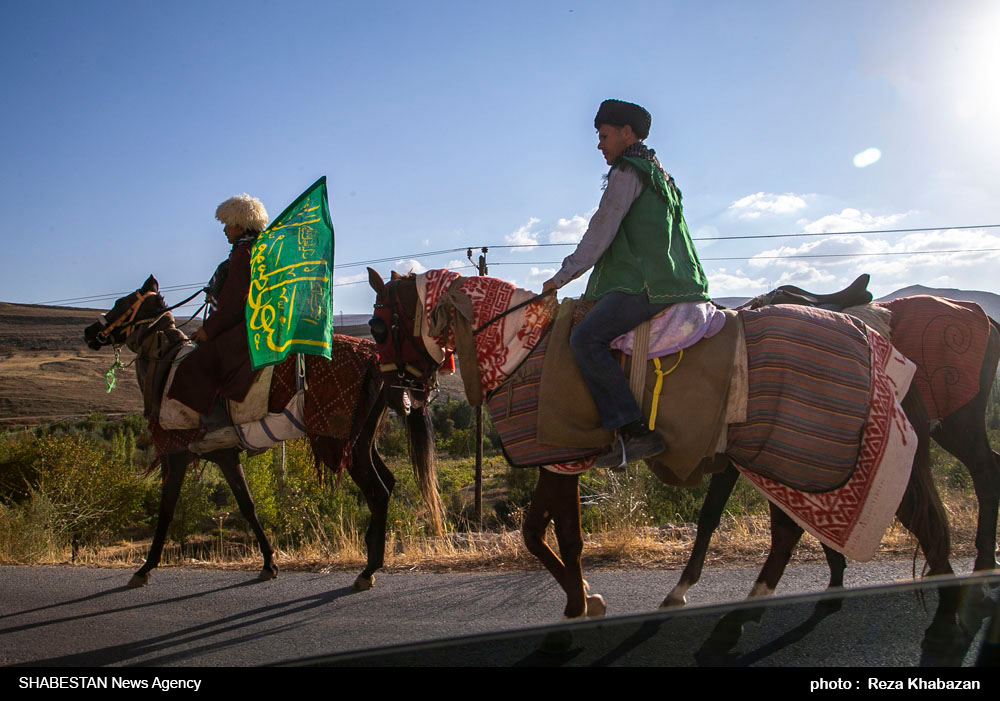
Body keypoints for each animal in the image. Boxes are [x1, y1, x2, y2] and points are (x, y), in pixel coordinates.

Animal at [87, 276, 442, 588]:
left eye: (121, 303)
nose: (91, 332)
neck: (164, 366)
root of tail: (377, 358)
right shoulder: (224, 455)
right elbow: (247, 505)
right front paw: (269, 563)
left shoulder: (175, 454)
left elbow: (166, 510)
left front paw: (144, 569)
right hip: (361, 441)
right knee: (388, 484)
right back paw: (372, 557)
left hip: (343, 442)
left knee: (378, 491)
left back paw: (368, 571)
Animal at [370, 268, 952, 616]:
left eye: (377, 327)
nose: (399, 392)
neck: (521, 347)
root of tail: (872, 330)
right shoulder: (559, 463)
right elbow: (540, 536)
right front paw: (584, 598)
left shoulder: (562, 461)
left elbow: (558, 538)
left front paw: (579, 605)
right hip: (774, 461)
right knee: (795, 532)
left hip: (797, 460)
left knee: (902, 524)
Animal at [664, 292, 1000, 608]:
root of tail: (986, 318)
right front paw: (836, 575)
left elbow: (712, 515)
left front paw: (681, 588)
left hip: (958, 424)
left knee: (984, 470)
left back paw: (983, 562)